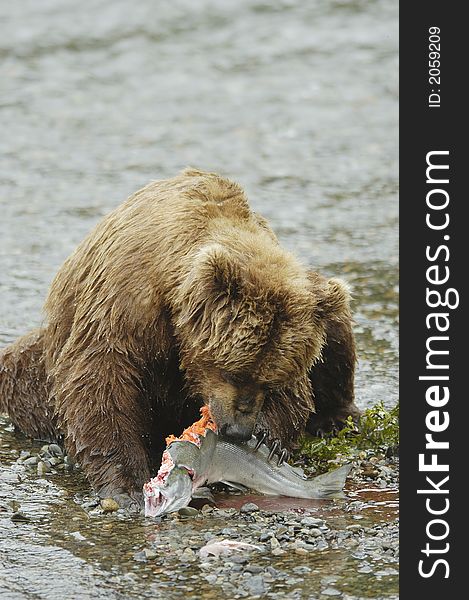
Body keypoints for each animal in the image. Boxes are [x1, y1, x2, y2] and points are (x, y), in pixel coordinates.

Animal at [0, 170, 358, 510]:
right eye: (233, 372)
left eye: (269, 381)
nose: (238, 430)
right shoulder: (125, 307)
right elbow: (100, 382)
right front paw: (127, 486)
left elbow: (297, 394)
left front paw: (267, 439)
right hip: (39, 365)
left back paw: (335, 417)